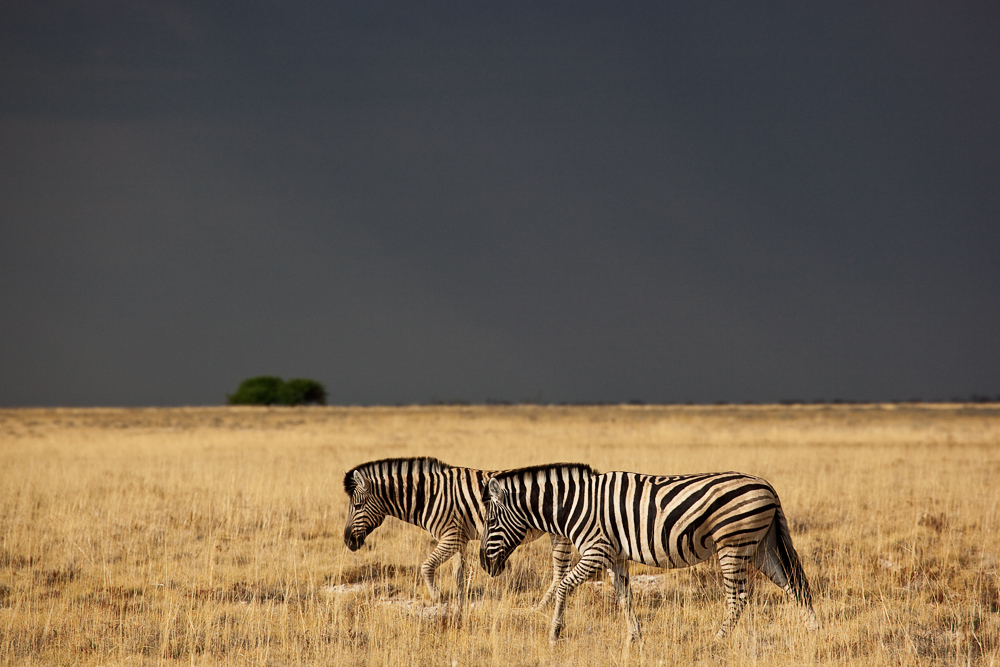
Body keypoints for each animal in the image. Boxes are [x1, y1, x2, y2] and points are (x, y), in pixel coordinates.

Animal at [344, 456, 576, 612]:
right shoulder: (459, 539)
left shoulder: (451, 537)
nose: (347, 541)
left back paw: (541, 607)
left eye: (357, 506)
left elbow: (426, 566)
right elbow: (459, 575)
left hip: (560, 533)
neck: (428, 496)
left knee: (560, 572)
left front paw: (438, 598)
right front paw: (460, 606)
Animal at [478, 464, 820, 640]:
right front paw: (635, 637)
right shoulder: (615, 555)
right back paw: (814, 632)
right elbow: (624, 596)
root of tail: (767, 485)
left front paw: (554, 633)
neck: (575, 504)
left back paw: (718, 640)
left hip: (733, 544)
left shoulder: (597, 550)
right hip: (761, 546)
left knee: (740, 597)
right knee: (793, 586)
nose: (483, 564)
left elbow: (564, 585)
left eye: (491, 522)